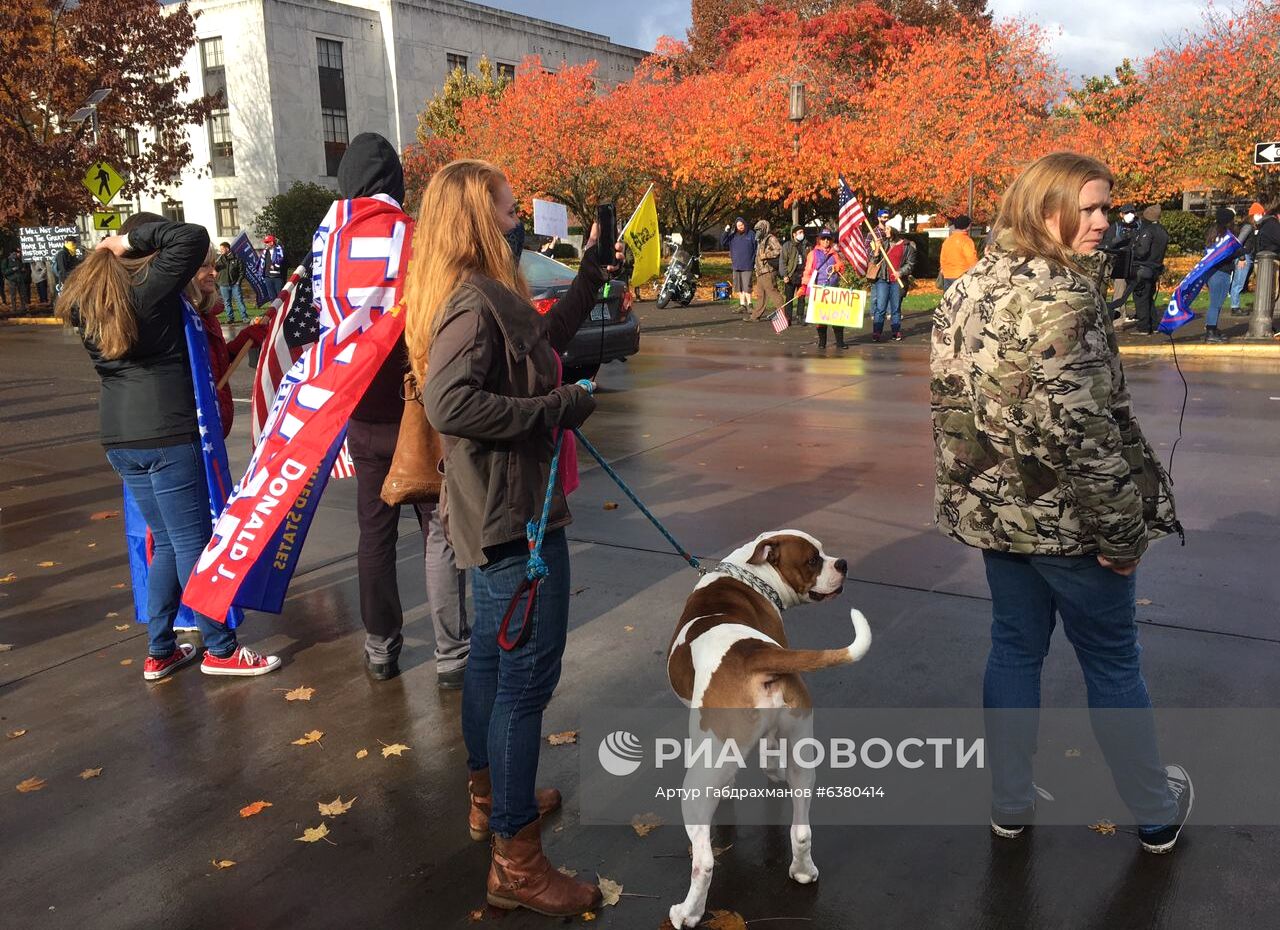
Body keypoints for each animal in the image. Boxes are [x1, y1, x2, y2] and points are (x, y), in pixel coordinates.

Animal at [670, 532, 870, 930]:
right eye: (813, 559)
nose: (842, 563)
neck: (748, 574)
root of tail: (753, 654)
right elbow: (769, 751)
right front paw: (772, 772)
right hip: (803, 755)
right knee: (802, 830)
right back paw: (803, 871)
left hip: (696, 784)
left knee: (705, 861)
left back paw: (688, 913)